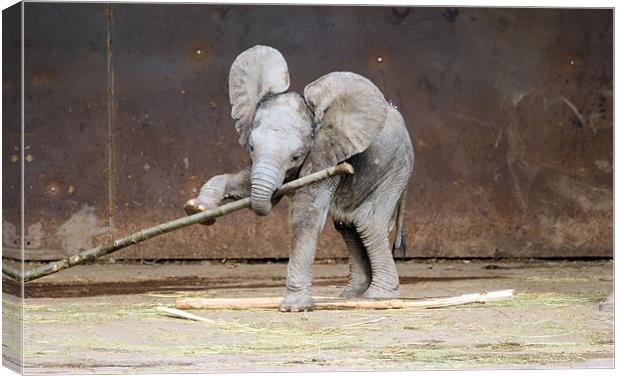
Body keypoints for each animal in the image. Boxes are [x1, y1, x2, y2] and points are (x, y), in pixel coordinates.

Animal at [186, 44, 414, 312]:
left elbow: (306, 215)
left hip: (396, 169)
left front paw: (294, 307)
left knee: (369, 224)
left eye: (296, 156)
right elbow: (247, 183)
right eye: (251, 147)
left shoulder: (327, 152)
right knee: (347, 225)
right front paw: (198, 209)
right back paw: (353, 295)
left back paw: (377, 296)